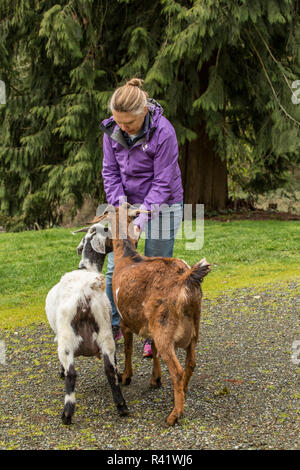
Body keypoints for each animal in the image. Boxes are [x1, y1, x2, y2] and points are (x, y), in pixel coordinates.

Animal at [45, 222, 128, 424]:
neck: (86, 268)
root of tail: (85, 292)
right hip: (105, 333)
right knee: (109, 369)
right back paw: (121, 405)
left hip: (67, 338)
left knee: (72, 374)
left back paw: (67, 413)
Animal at [95, 204, 210, 424]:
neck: (128, 257)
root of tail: (185, 279)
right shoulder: (151, 324)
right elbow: (153, 350)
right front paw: (155, 379)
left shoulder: (126, 320)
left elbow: (128, 349)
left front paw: (126, 376)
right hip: (192, 326)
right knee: (191, 362)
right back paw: (183, 392)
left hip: (165, 328)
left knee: (178, 370)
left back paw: (174, 415)